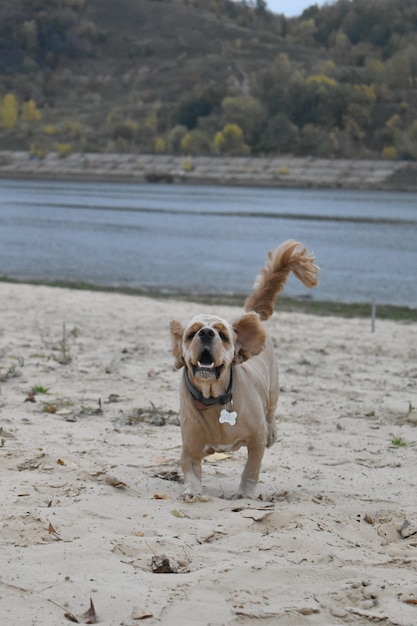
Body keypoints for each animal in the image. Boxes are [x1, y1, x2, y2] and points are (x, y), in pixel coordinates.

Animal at [169, 236, 318, 500]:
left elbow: (251, 468)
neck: (213, 400)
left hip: (273, 387)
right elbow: (191, 470)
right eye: (191, 333)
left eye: (222, 334)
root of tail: (249, 316)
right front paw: (192, 492)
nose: (206, 333)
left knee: (272, 410)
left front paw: (245, 494)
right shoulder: (190, 448)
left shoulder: (256, 439)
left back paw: (273, 430)